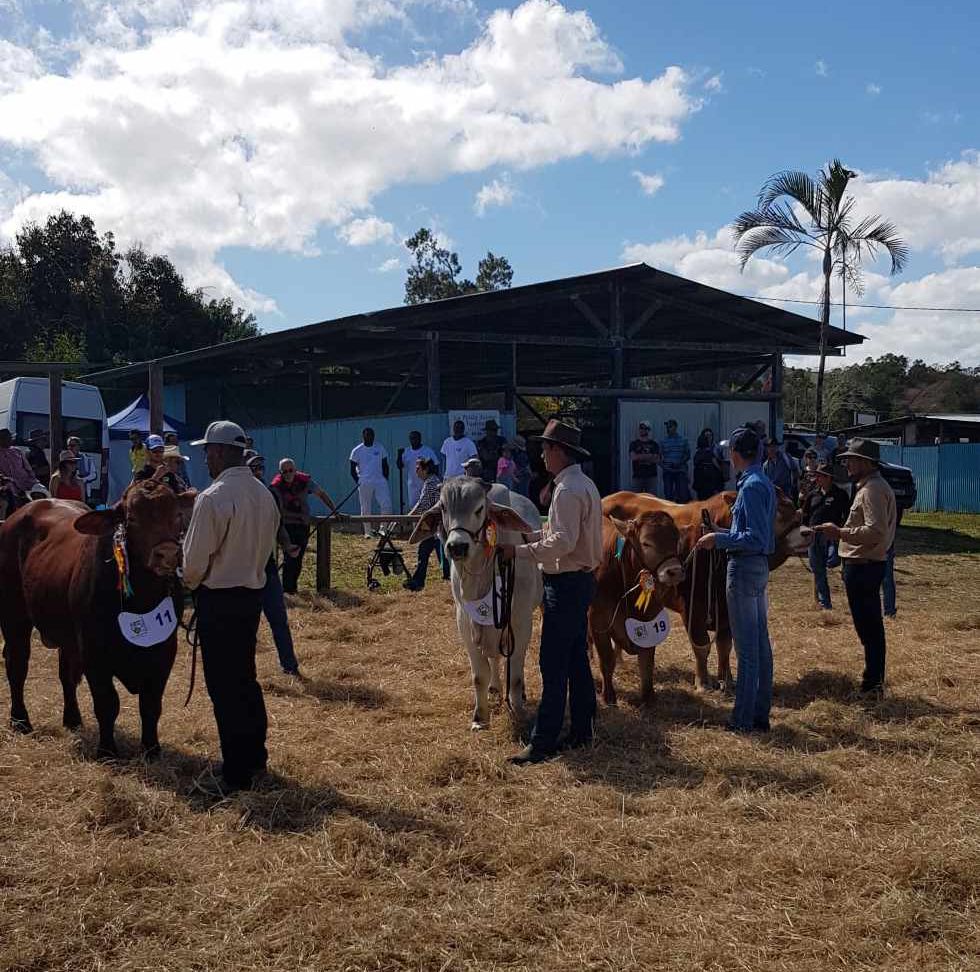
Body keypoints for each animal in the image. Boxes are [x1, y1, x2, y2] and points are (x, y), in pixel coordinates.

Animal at [0, 486, 197, 760]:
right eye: (132, 518)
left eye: (178, 515)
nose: (168, 554)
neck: (141, 598)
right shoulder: (94, 653)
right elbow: (107, 703)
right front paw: (106, 750)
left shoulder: (164, 650)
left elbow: (151, 704)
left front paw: (152, 749)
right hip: (14, 617)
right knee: (17, 666)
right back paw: (20, 721)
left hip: (68, 638)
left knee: (66, 674)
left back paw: (72, 719)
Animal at [408, 478, 540, 728]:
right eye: (443, 507)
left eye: (479, 509)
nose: (457, 546)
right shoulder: (466, 623)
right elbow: (480, 675)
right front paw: (480, 717)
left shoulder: (520, 623)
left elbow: (516, 675)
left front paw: (518, 709)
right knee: (494, 658)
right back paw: (495, 687)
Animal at [584, 508, 684, 708]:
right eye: (646, 543)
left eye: (676, 539)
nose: (675, 572)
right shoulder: (599, 621)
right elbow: (606, 659)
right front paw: (608, 696)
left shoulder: (651, 619)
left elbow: (647, 661)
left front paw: (648, 696)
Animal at [596, 490, 812, 704]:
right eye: (776, 511)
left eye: (792, 505)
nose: (808, 533)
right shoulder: (692, 608)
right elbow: (701, 646)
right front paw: (703, 683)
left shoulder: (727, 609)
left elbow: (724, 647)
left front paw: (727, 681)